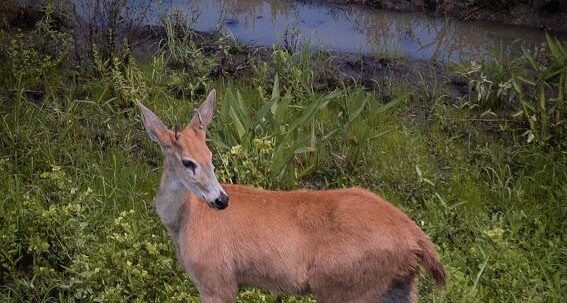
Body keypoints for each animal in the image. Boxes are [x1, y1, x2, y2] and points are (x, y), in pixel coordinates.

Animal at [138, 90, 444, 303]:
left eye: (210, 156)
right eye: (188, 162)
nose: (221, 200)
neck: (185, 219)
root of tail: (416, 239)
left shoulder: (216, 279)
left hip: (346, 287)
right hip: (399, 286)